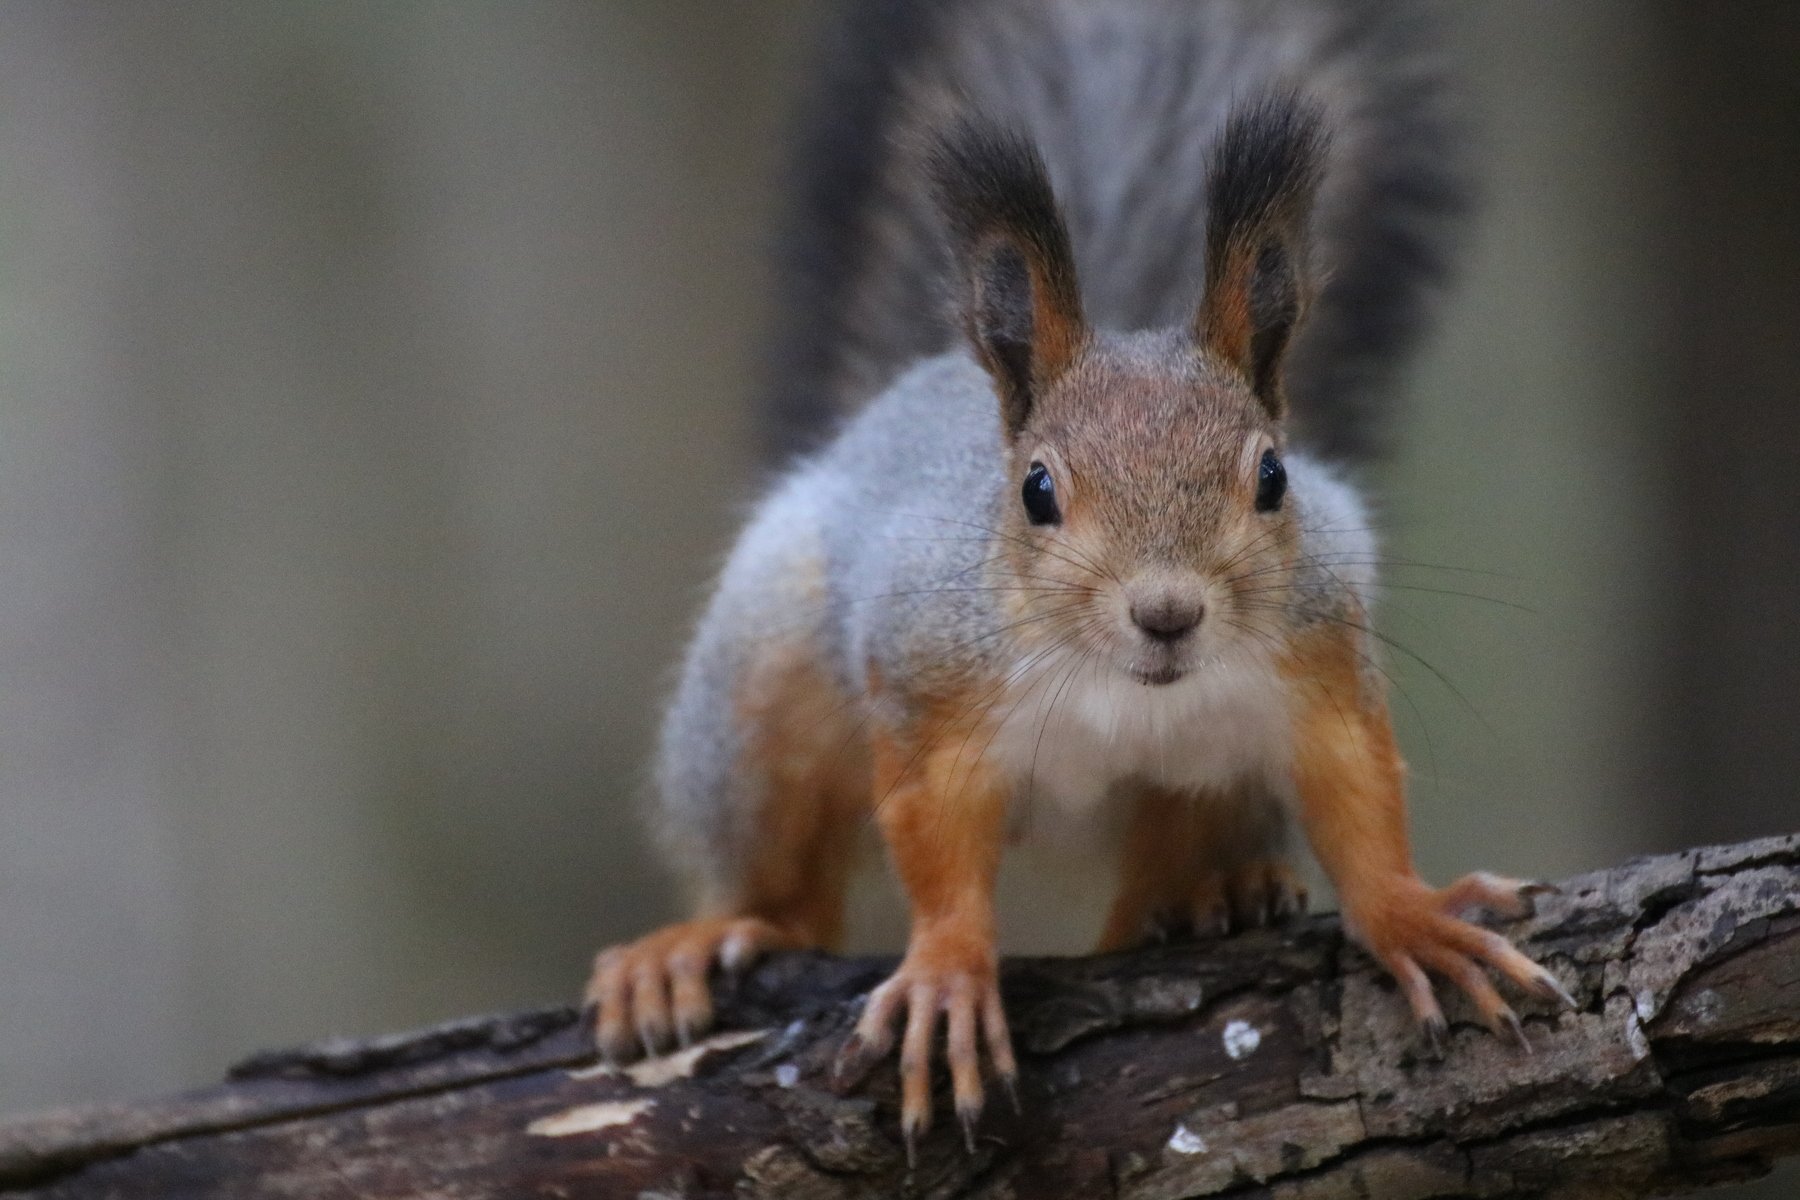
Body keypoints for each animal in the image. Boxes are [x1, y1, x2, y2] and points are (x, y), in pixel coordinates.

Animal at [583, 0, 1569, 1165]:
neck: (1119, 684)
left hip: (1201, 790)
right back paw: (704, 941)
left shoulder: (1321, 659)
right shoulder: (930, 682)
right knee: (788, 896)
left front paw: (1414, 916)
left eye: (1274, 477)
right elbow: (935, 845)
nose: (1167, 612)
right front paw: (948, 977)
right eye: (1037, 490)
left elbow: (1360, 798)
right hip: (761, 698)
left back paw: (1216, 893)